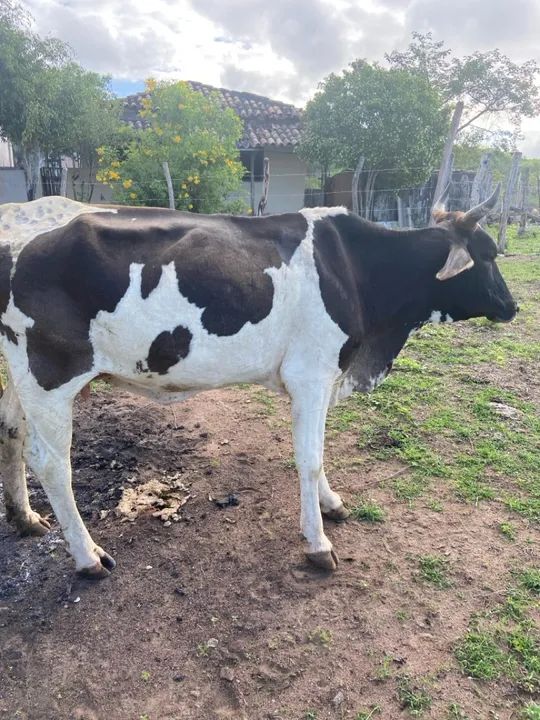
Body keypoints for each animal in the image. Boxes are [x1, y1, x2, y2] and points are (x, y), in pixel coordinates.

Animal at [0, 188, 516, 578]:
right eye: (489, 254)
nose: (513, 307)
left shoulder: (322, 376)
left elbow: (318, 453)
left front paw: (331, 503)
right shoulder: (311, 373)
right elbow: (309, 458)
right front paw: (318, 543)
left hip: (22, 376)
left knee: (13, 432)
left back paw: (25, 519)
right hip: (50, 376)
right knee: (52, 463)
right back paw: (88, 556)